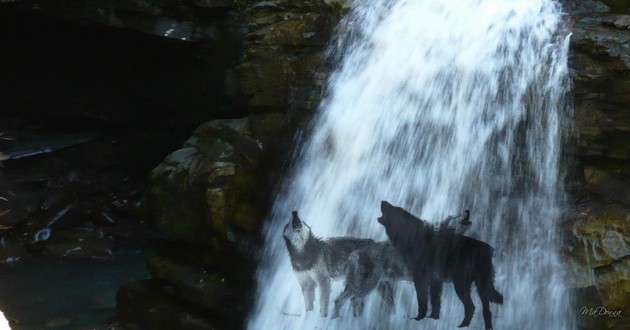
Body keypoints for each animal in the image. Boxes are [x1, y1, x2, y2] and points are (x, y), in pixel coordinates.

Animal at [378, 201, 506, 330]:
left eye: (393, 208)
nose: (383, 201)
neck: (411, 236)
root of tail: (487, 248)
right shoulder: (435, 281)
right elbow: (435, 303)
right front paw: (433, 319)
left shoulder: (420, 278)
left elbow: (422, 301)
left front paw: (419, 319)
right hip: (480, 287)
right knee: (486, 310)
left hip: (461, 285)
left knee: (471, 307)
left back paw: (461, 326)